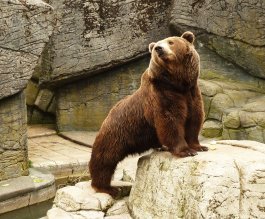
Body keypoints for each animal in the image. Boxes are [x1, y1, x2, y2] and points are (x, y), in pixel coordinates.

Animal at [88, 30, 206, 197]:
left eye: (170, 42)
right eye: (157, 45)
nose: (158, 48)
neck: (177, 83)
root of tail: (107, 115)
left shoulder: (192, 93)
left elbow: (194, 119)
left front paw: (199, 146)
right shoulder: (162, 95)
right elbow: (170, 121)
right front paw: (186, 151)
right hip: (116, 134)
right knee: (105, 159)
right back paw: (108, 187)